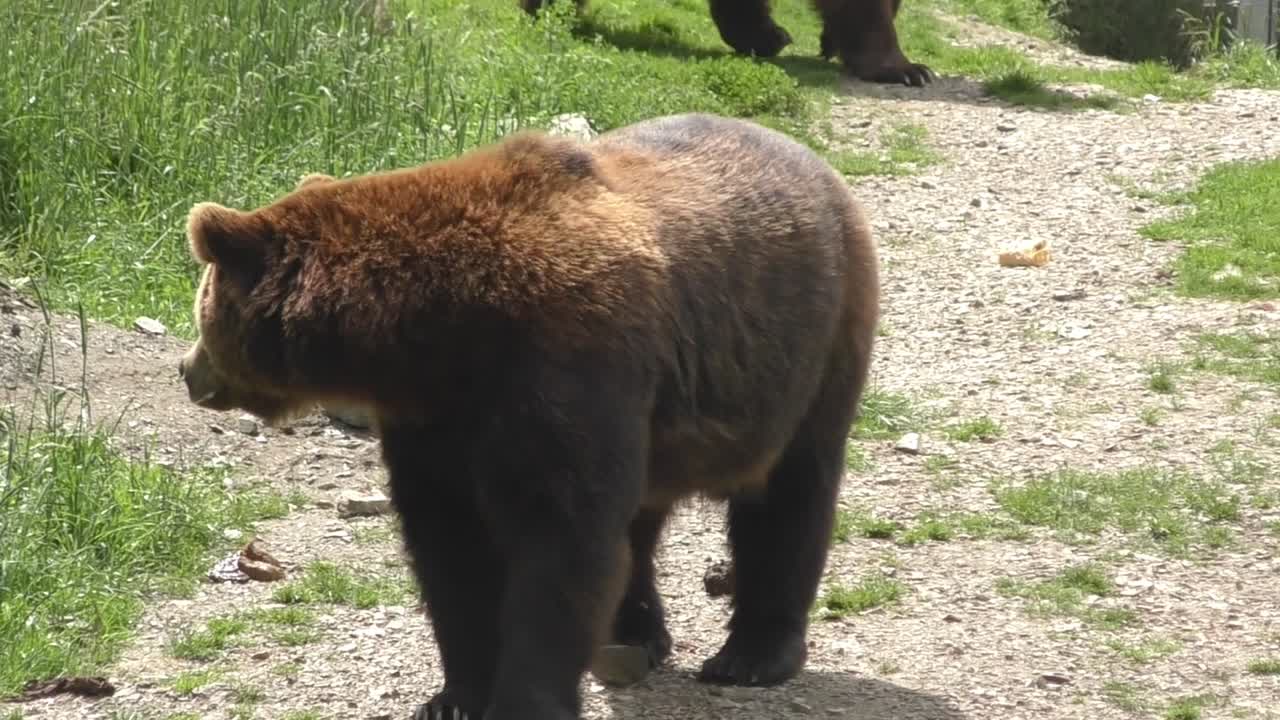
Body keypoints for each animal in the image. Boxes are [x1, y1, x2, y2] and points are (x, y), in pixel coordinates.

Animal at [177, 111, 880, 720]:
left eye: (200, 306)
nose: (187, 370)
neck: (439, 331)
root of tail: (814, 162)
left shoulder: (565, 360)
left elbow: (560, 540)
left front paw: (525, 698)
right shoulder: (438, 419)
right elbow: (450, 544)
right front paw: (454, 695)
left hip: (812, 342)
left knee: (790, 495)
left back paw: (751, 656)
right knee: (643, 520)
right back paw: (635, 636)